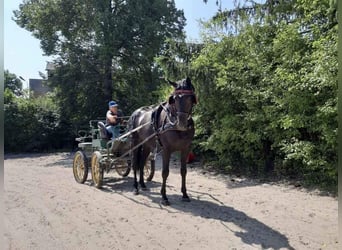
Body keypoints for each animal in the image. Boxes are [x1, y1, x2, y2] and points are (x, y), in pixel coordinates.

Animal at [129, 76, 198, 205]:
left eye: (190, 98)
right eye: (174, 99)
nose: (181, 123)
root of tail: (136, 112)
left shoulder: (185, 149)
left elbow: (183, 171)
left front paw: (185, 194)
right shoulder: (166, 150)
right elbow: (165, 172)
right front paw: (164, 196)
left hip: (146, 145)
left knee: (142, 163)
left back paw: (143, 184)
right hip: (135, 143)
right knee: (135, 163)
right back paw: (135, 187)